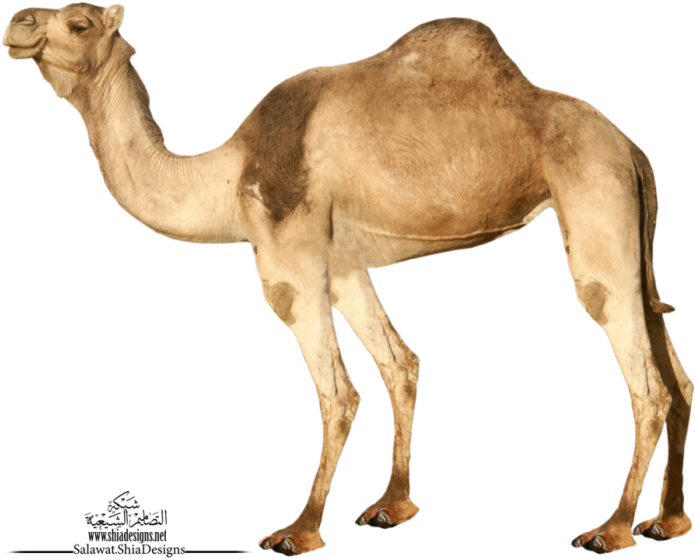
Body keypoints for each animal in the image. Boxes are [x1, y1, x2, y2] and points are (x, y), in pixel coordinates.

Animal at [3, 3, 692, 555]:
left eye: (80, 22)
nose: (18, 22)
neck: (226, 176)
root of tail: (632, 150)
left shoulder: (289, 259)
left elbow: (337, 392)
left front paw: (299, 530)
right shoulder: (343, 264)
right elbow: (399, 364)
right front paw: (392, 506)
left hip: (594, 196)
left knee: (643, 376)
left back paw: (612, 528)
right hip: (628, 224)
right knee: (677, 375)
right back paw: (668, 520)